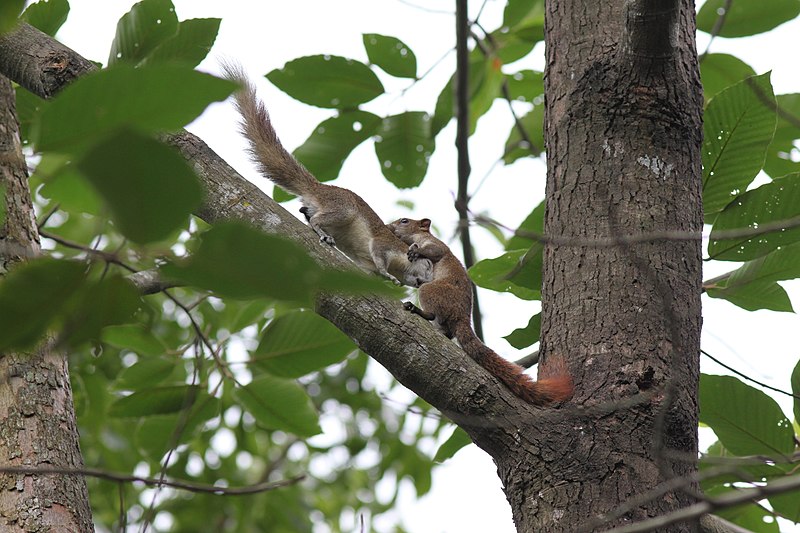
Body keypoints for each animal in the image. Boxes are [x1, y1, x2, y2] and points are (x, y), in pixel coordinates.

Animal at [222, 64, 434, 288]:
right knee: (317, 219)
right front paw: (389, 275)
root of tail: (318, 188)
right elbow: (379, 255)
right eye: (428, 265)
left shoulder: (368, 268)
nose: (422, 283)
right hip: (342, 208)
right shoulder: (383, 245)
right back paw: (323, 232)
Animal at [390, 216, 572, 404]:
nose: (389, 226)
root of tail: (462, 316)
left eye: (404, 221)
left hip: (432, 291)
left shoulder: (435, 245)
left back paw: (419, 310)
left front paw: (415, 251)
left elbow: (433, 251)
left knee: (433, 313)